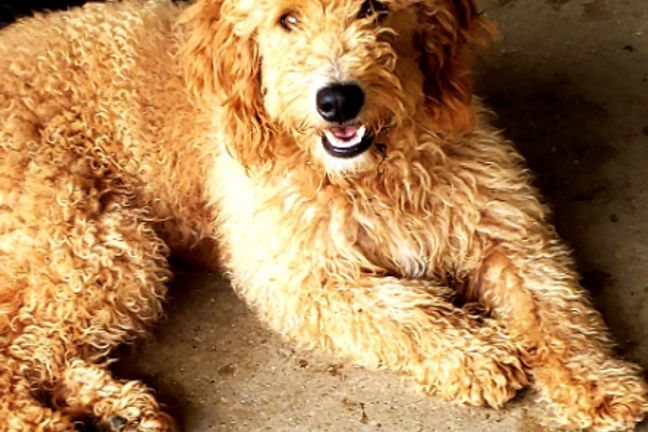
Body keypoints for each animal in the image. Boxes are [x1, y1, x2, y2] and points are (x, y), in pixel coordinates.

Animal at [0, 0, 646, 430]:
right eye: (287, 19)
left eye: (373, 8)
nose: (337, 99)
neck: (375, 173)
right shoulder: (299, 275)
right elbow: (404, 309)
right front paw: (478, 354)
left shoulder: (509, 230)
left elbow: (556, 311)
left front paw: (600, 386)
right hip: (97, 244)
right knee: (17, 354)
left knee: (43, 351)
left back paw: (120, 410)